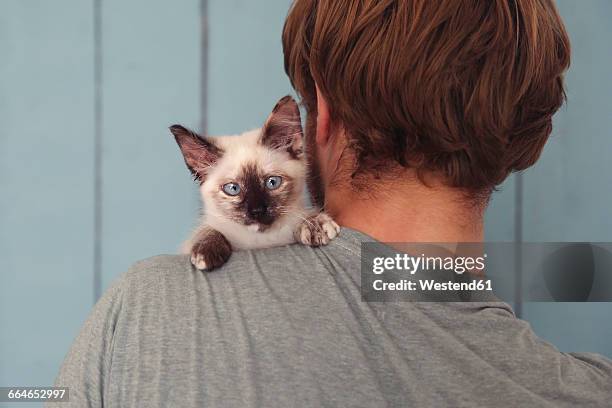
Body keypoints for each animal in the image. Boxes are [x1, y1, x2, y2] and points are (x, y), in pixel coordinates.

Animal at [170, 94, 340, 270]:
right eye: (233, 189)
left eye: (272, 182)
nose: (257, 211)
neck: (260, 242)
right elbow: (208, 230)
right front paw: (206, 252)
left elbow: (305, 217)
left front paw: (316, 225)